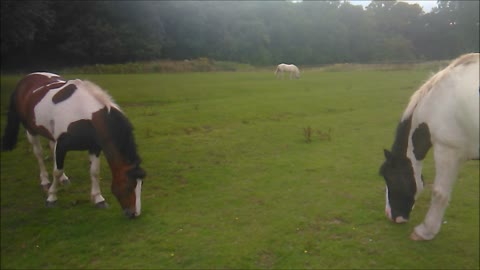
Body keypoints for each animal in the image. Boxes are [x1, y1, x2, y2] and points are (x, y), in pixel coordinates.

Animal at [1, 72, 146, 219]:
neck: (84, 115)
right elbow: (57, 171)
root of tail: (24, 80)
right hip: (31, 131)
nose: (134, 213)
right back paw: (45, 181)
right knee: (39, 154)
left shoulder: (94, 147)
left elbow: (94, 172)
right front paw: (51, 198)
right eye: (128, 185)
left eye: (141, 184)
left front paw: (98, 199)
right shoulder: (62, 146)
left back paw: (64, 179)